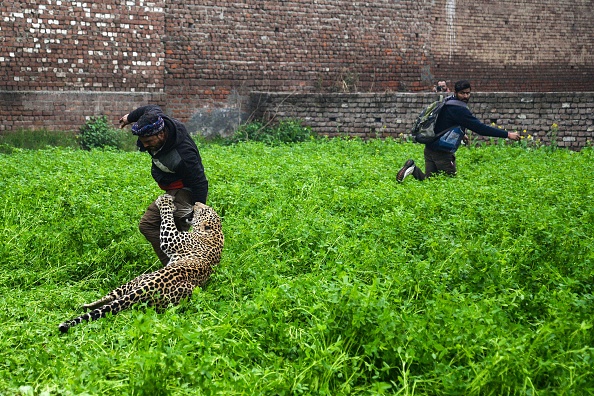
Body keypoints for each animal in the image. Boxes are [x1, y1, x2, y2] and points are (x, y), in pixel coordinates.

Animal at [59, 193, 223, 332]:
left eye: (203, 210)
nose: (196, 203)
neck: (215, 233)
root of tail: (146, 288)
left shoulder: (171, 238)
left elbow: (167, 219)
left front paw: (165, 203)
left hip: (138, 281)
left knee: (111, 299)